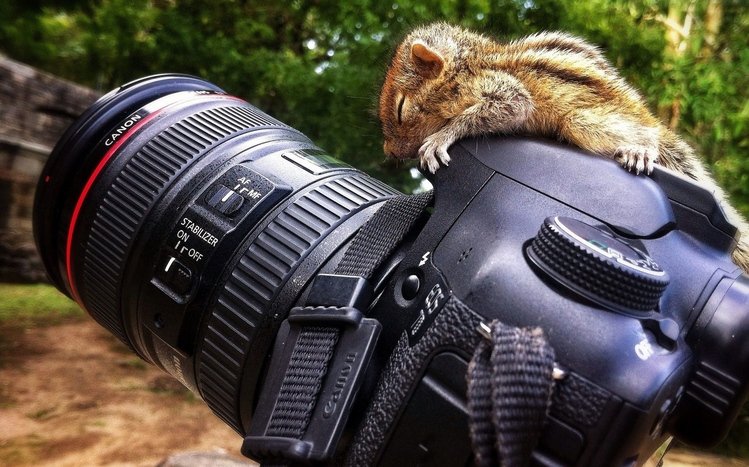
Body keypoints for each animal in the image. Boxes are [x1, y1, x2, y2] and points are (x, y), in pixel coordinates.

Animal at [378, 22, 749, 273]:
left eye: (400, 108)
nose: (390, 153)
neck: (470, 67)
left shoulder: (504, 91)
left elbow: (506, 108)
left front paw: (441, 138)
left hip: (581, 121)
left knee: (648, 136)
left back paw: (640, 149)